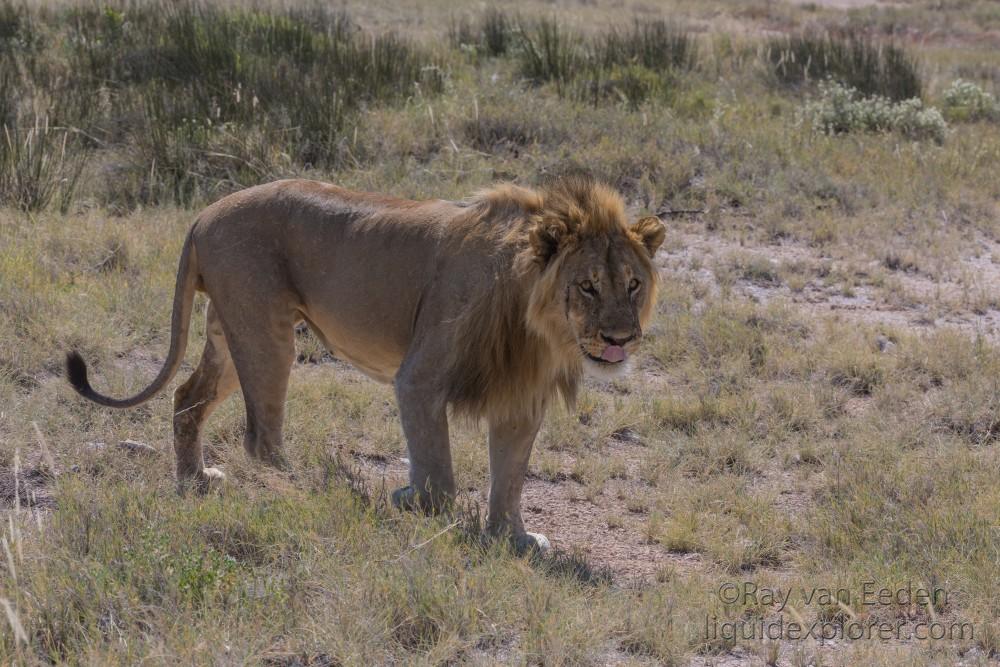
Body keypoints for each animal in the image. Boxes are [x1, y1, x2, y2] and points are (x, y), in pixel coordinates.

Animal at [66, 174, 668, 552]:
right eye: (588, 286)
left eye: (633, 285)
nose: (620, 339)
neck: (536, 326)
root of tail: (202, 214)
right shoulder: (419, 378)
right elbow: (440, 474)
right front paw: (411, 502)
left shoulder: (519, 398)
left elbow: (512, 477)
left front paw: (512, 538)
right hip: (266, 333)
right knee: (260, 438)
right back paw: (315, 488)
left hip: (228, 331)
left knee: (186, 397)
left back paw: (195, 478)